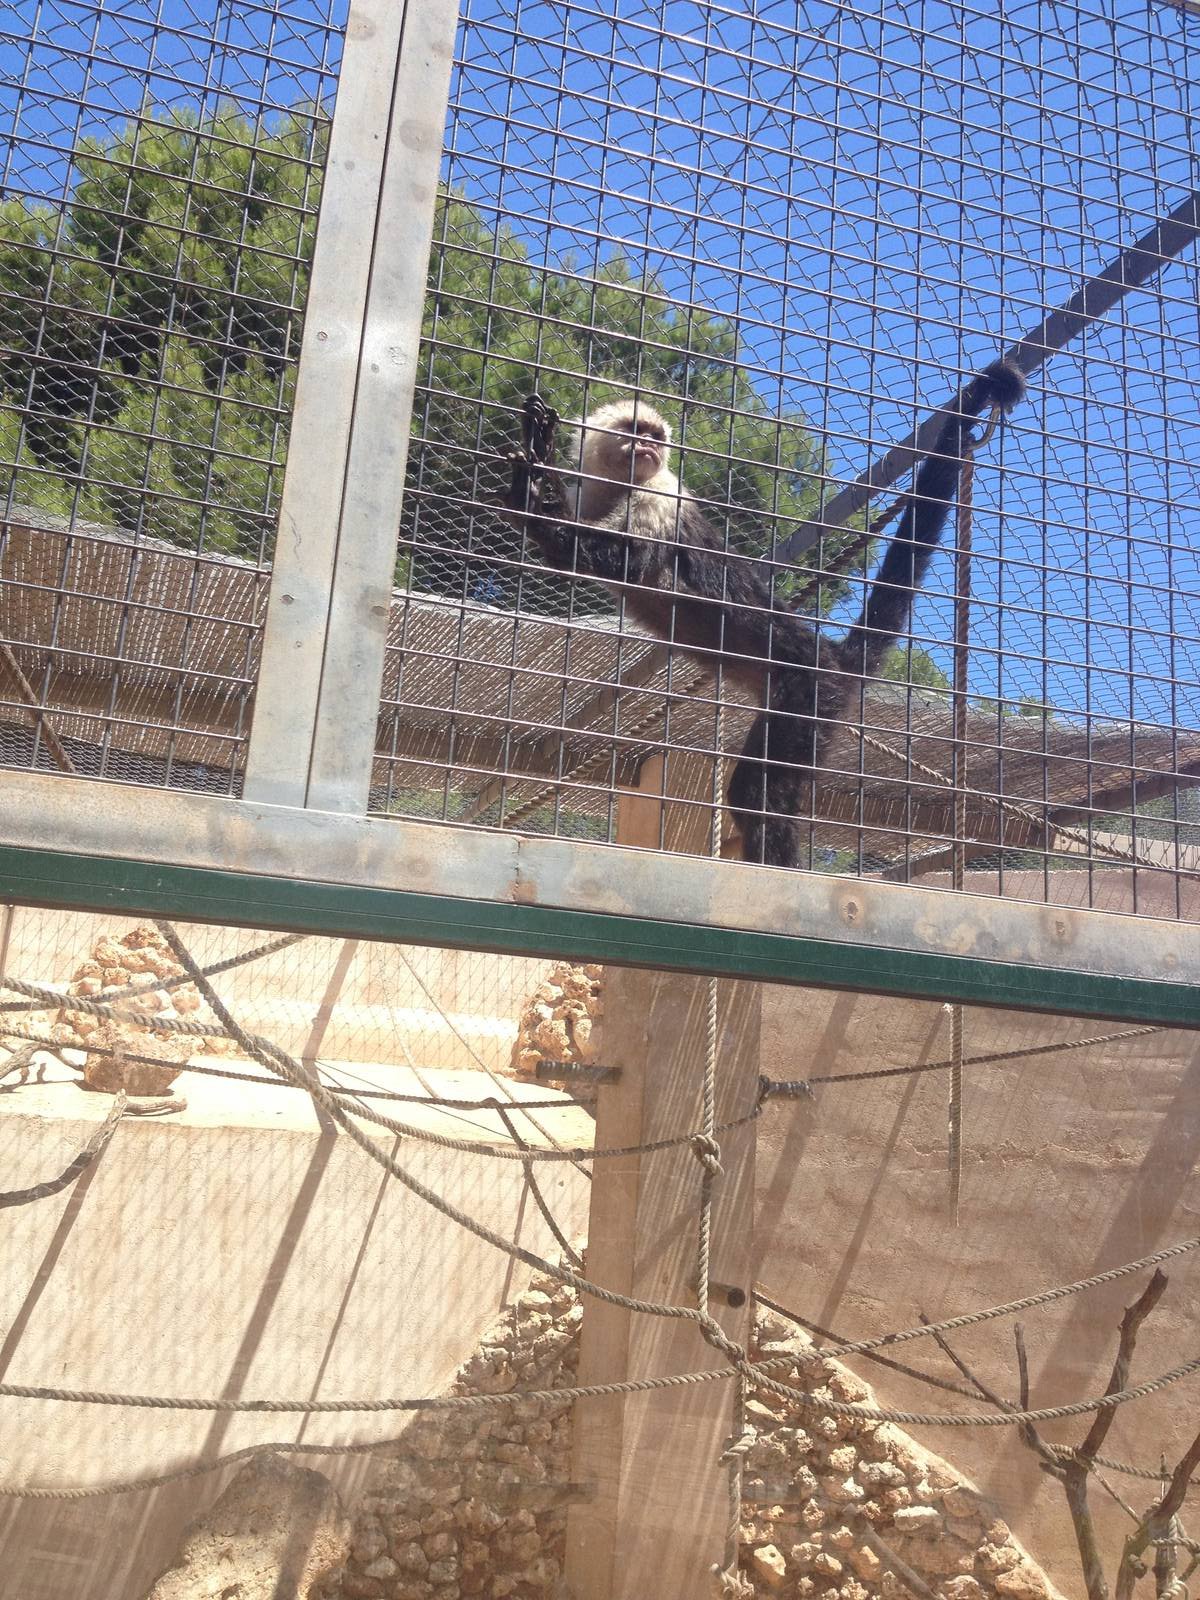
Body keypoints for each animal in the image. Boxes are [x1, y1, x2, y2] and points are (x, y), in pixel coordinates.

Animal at [503, 360, 1025, 867]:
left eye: (657, 435)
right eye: (636, 430)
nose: (648, 446)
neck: (618, 489)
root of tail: (829, 655)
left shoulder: (663, 492)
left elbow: (629, 558)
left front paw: (534, 484)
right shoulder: (595, 495)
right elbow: (570, 559)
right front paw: (534, 486)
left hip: (811, 694)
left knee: (758, 791)